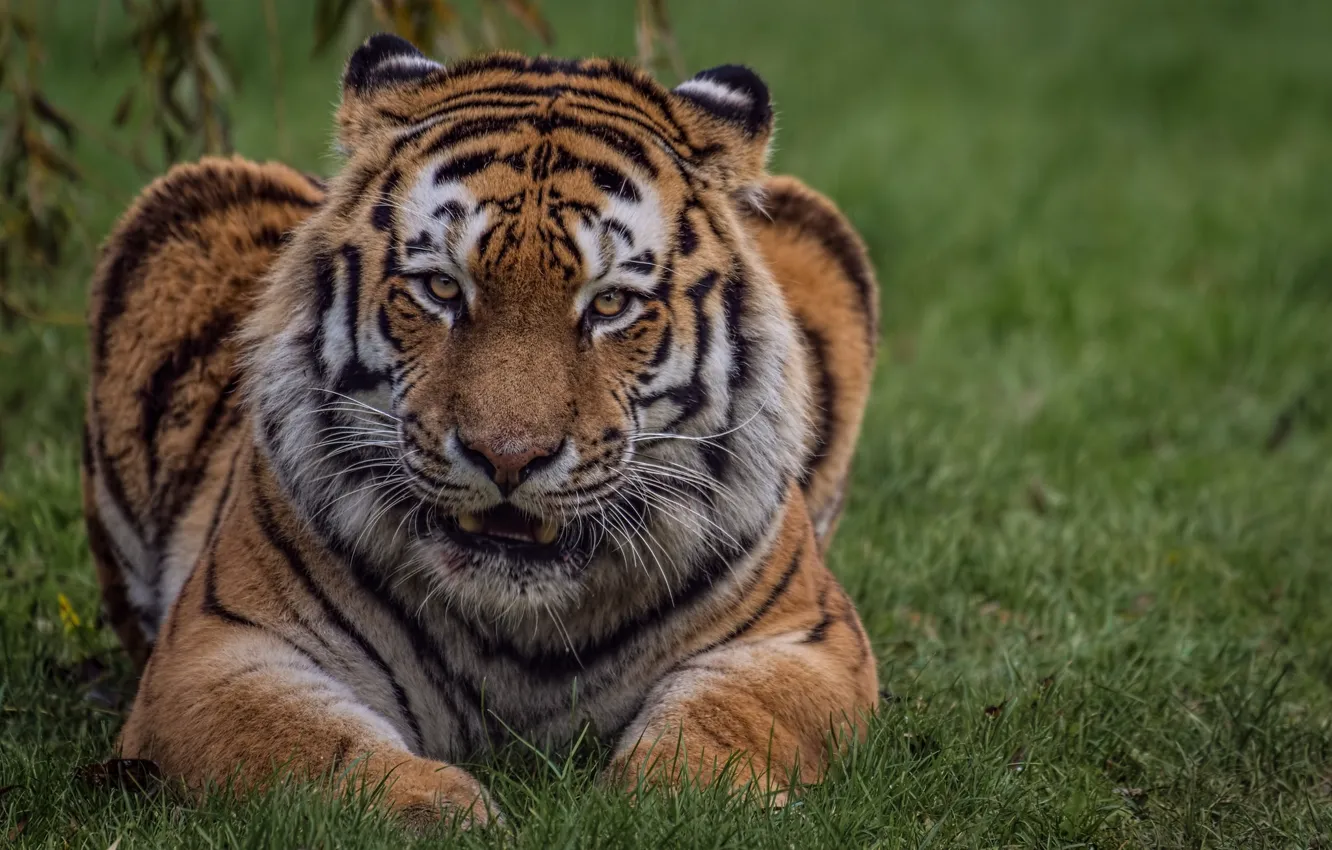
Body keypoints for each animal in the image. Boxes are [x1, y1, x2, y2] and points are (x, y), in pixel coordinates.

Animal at [83, 34, 879, 824]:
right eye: (442, 288)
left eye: (611, 303)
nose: (507, 457)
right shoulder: (216, 651)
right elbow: (309, 748)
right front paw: (438, 807)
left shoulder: (804, 639)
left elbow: (724, 719)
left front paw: (674, 801)